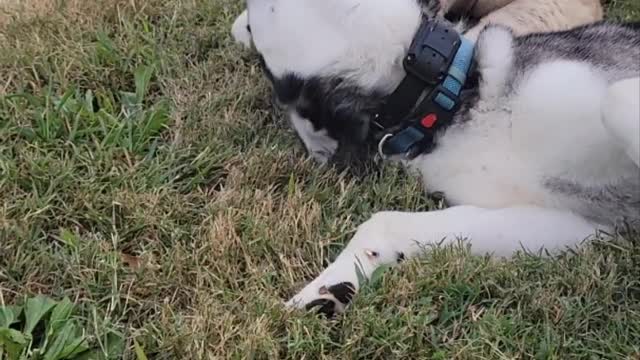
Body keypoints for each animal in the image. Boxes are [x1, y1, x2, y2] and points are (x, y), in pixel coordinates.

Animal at [231, 0, 640, 316]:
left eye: (252, 22)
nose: (240, 24)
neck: (447, 94)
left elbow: (617, 98)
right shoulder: (583, 225)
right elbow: (384, 221)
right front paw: (329, 289)